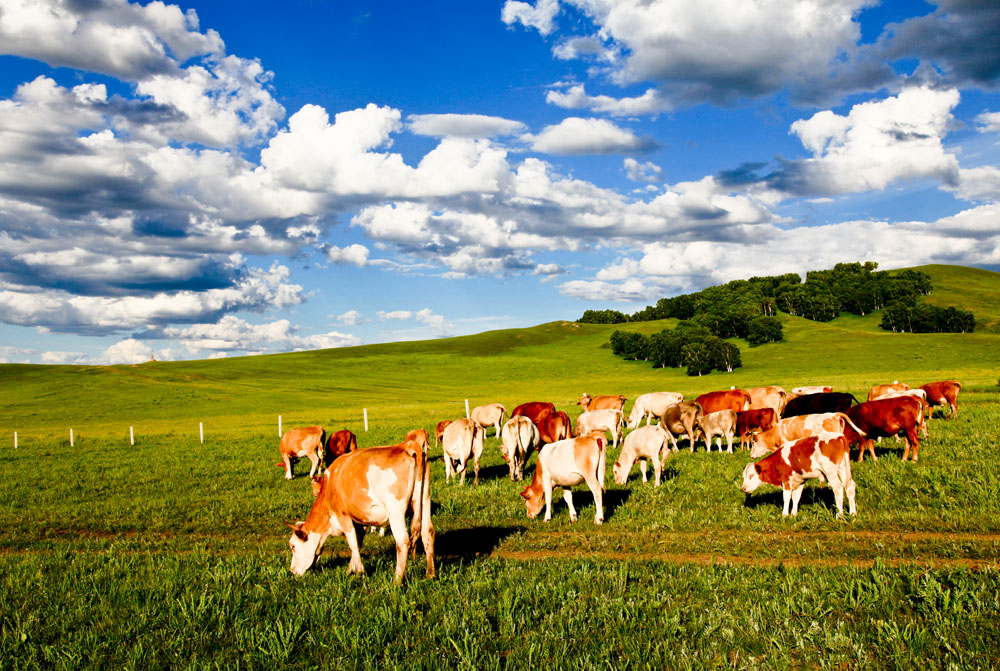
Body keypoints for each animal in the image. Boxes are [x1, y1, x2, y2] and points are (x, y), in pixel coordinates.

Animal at [286, 440, 434, 584]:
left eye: (293, 546)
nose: (292, 572)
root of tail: (407, 446)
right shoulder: (361, 519)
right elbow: (358, 541)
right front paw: (351, 569)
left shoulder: (343, 515)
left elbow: (352, 542)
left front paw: (359, 572)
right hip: (425, 501)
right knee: (428, 533)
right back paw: (431, 575)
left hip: (395, 509)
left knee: (403, 541)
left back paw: (397, 581)